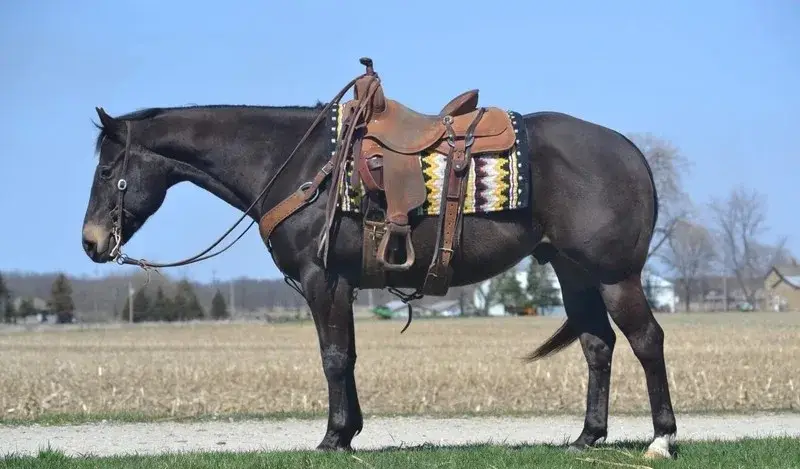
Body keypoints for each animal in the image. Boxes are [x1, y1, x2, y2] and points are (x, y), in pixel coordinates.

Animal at [80, 67, 677, 460]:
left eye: (108, 170)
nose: (90, 242)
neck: (296, 164)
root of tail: (629, 152)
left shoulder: (322, 280)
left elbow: (333, 357)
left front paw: (331, 438)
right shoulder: (342, 284)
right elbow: (348, 356)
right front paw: (349, 433)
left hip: (614, 276)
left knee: (646, 340)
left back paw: (661, 439)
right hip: (572, 272)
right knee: (598, 345)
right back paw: (587, 437)